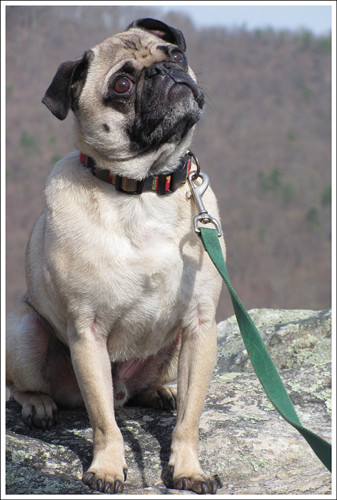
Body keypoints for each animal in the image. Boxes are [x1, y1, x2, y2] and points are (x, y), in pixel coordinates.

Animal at [5, 17, 224, 494]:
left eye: (175, 54)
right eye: (122, 85)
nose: (163, 72)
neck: (143, 189)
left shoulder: (200, 327)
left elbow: (190, 421)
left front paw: (188, 468)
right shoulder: (88, 333)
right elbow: (104, 421)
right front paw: (106, 467)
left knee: (148, 393)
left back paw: (159, 392)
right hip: (24, 329)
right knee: (27, 386)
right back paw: (38, 404)